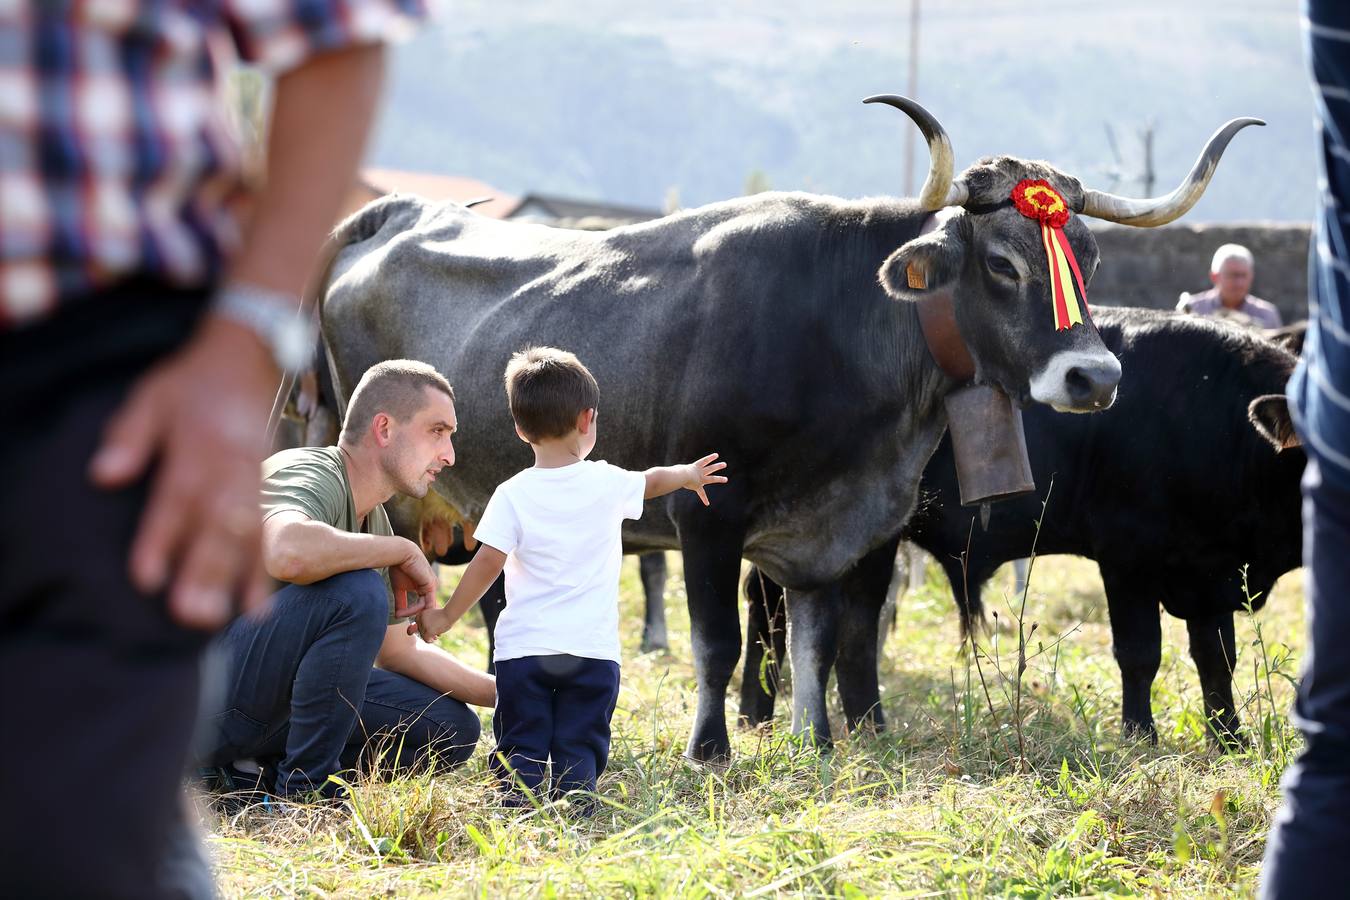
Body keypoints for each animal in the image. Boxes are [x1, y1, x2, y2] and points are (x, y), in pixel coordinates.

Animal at [313, 97, 1252, 761]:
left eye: (1086, 261)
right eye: (1001, 263)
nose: (1097, 377)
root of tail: (402, 214)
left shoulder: (842, 529)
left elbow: (821, 642)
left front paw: (817, 740)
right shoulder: (706, 517)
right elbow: (720, 642)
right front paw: (711, 749)